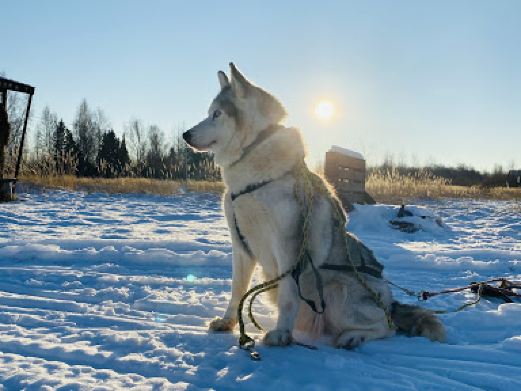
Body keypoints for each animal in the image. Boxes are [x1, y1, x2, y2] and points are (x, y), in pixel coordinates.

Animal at [183, 63, 442, 350]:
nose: (186, 135)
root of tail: (389, 299)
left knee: (387, 326)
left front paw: (281, 334)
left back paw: (352, 337)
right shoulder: (241, 246)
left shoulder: (288, 246)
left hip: (338, 292)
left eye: (216, 114)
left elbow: (288, 296)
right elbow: (237, 290)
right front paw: (228, 322)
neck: (253, 178)